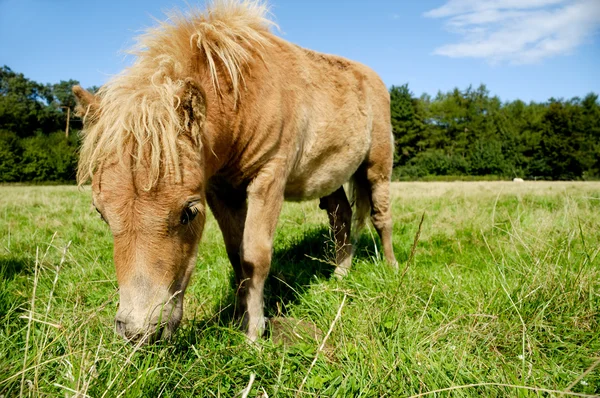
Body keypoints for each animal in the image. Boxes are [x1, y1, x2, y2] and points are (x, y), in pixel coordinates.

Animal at [72, 0, 396, 344]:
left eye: (188, 213)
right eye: (101, 213)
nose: (139, 331)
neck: (244, 98)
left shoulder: (268, 180)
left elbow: (255, 255)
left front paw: (254, 333)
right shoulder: (220, 190)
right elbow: (235, 254)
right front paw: (241, 318)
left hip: (377, 168)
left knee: (380, 216)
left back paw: (391, 267)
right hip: (330, 178)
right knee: (341, 217)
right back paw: (340, 274)